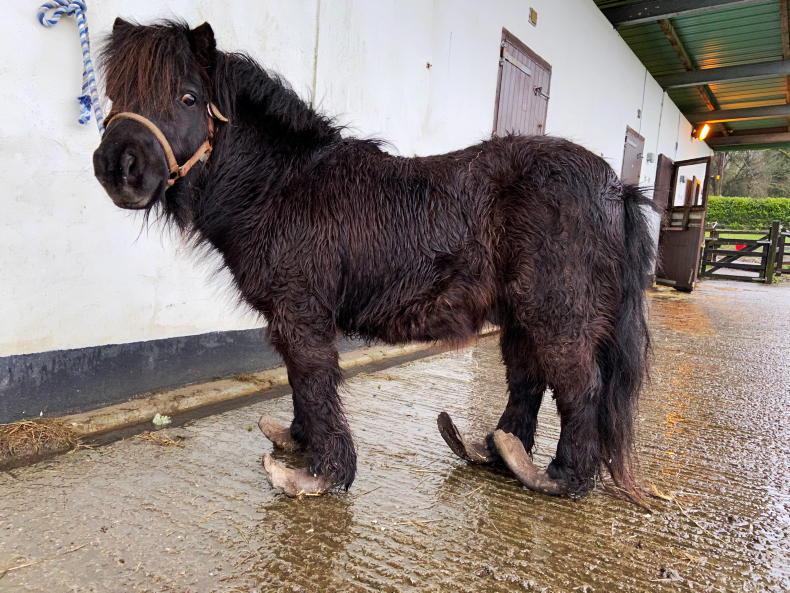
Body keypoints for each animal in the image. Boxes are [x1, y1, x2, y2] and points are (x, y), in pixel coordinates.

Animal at [92, 19, 655, 499]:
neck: (281, 185)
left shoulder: (302, 312)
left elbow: (314, 380)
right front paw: (299, 442)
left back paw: (561, 478)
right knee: (527, 379)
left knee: (580, 385)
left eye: (188, 97)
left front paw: (321, 474)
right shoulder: (290, 317)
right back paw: (498, 452)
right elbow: (298, 380)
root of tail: (616, 188)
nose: (118, 168)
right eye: (114, 95)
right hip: (521, 315)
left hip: (557, 312)